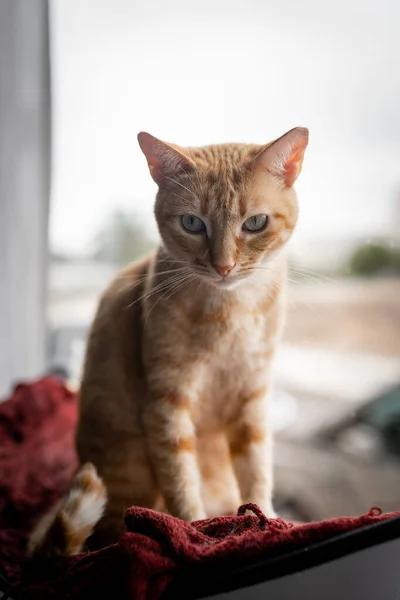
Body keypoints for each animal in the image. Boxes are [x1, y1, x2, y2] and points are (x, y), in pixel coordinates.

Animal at [69, 126, 308, 548]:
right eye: (193, 223)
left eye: (256, 222)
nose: (224, 266)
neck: (229, 313)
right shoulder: (166, 403)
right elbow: (180, 479)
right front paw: (199, 532)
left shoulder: (252, 397)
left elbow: (256, 471)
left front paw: (267, 520)